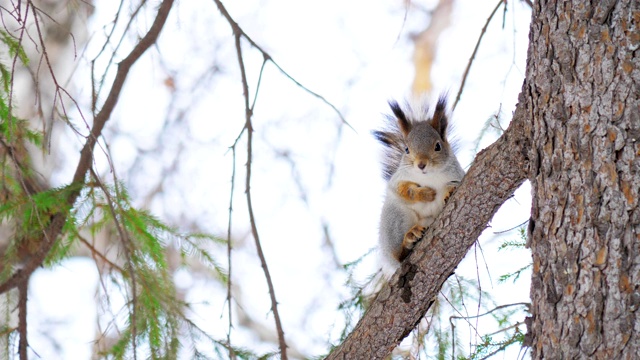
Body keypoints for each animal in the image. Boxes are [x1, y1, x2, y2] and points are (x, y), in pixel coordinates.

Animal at [372, 95, 462, 268]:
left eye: (438, 146)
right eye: (406, 149)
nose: (421, 164)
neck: (428, 176)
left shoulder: (457, 174)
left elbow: (452, 184)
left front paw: (448, 191)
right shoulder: (398, 179)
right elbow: (403, 190)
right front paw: (425, 193)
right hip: (395, 219)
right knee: (398, 254)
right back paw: (409, 239)